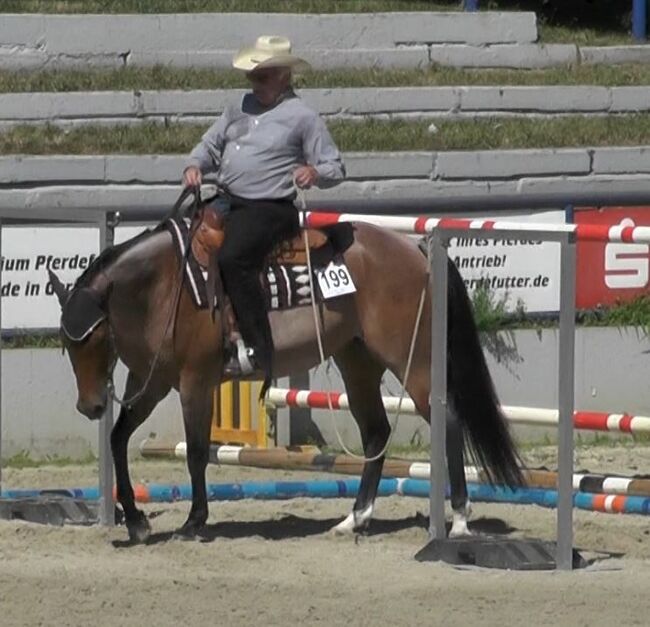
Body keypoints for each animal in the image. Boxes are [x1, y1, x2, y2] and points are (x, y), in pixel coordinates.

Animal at [49, 207, 520, 544]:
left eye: (95, 337)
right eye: (67, 343)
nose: (90, 405)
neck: (167, 284)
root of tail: (415, 251)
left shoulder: (194, 382)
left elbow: (197, 452)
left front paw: (195, 521)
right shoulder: (152, 382)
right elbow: (118, 439)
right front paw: (135, 520)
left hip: (413, 358)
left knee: (449, 421)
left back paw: (458, 520)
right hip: (357, 360)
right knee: (376, 433)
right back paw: (354, 518)